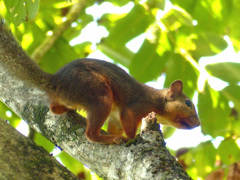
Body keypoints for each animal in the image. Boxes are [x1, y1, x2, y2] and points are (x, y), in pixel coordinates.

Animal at [0, 18, 199, 143]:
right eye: (188, 103)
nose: (198, 124)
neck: (158, 101)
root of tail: (56, 82)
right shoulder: (136, 107)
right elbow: (129, 122)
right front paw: (131, 138)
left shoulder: (116, 119)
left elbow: (116, 125)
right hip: (98, 93)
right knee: (90, 134)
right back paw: (109, 139)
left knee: (55, 109)